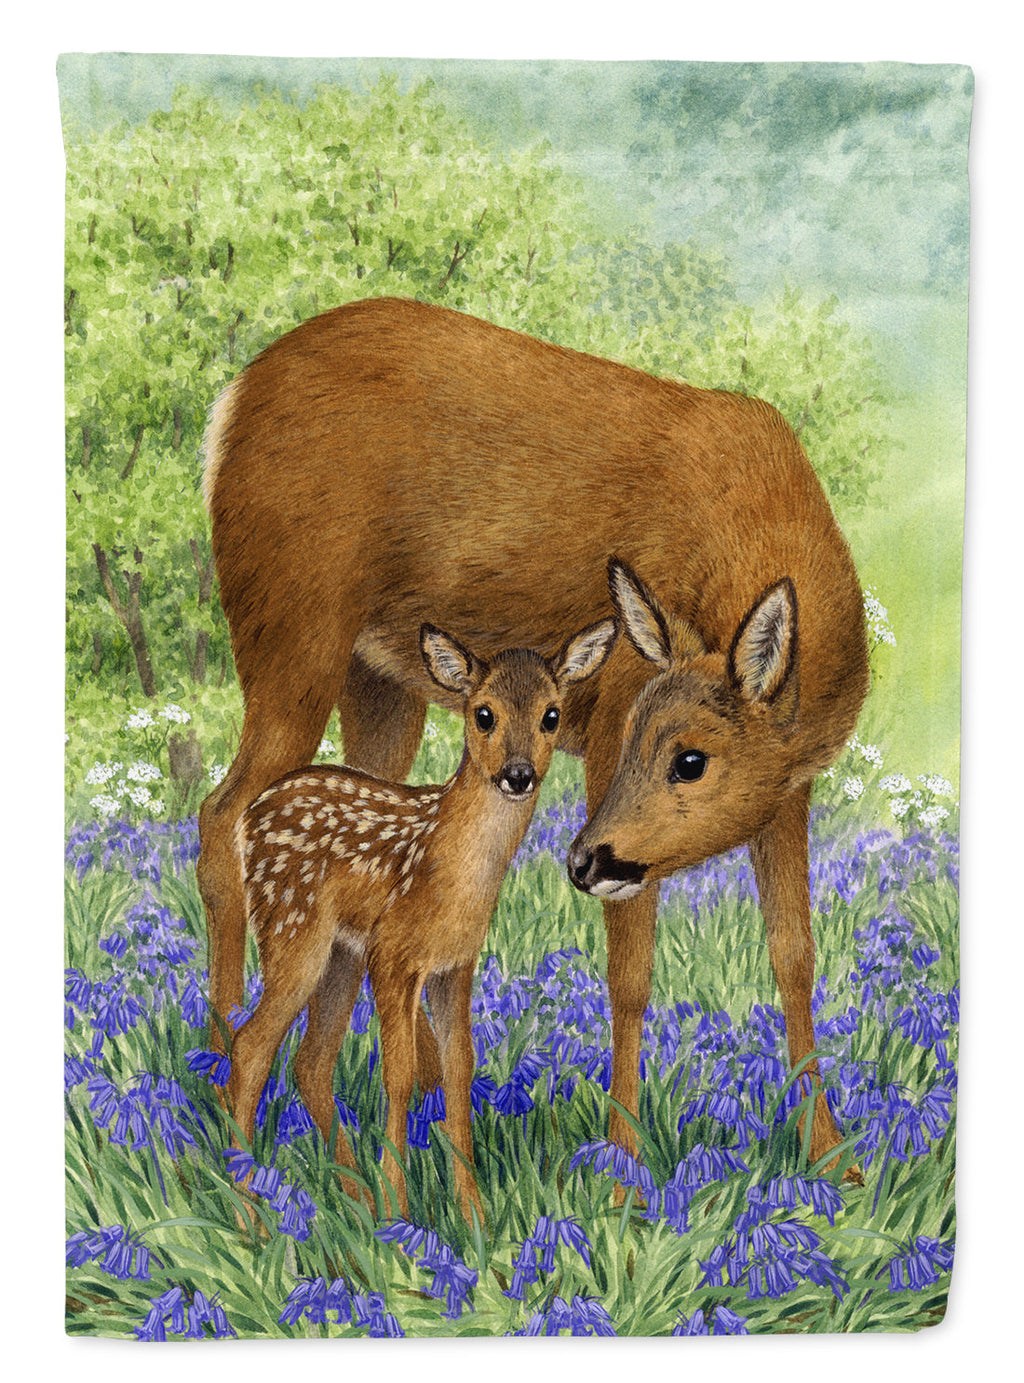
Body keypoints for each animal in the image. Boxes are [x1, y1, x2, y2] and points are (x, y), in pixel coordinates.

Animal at [226, 618, 618, 1221]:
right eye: (483, 713)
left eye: (551, 714)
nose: (519, 774)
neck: (451, 877)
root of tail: (246, 822)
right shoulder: (393, 955)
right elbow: (401, 1072)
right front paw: (401, 1211)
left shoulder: (453, 965)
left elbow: (460, 1068)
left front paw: (472, 1212)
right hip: (292, 929)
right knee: (250, 1046)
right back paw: (251, 1213)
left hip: (340, 954)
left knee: (310, 1062)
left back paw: (354, 1198)